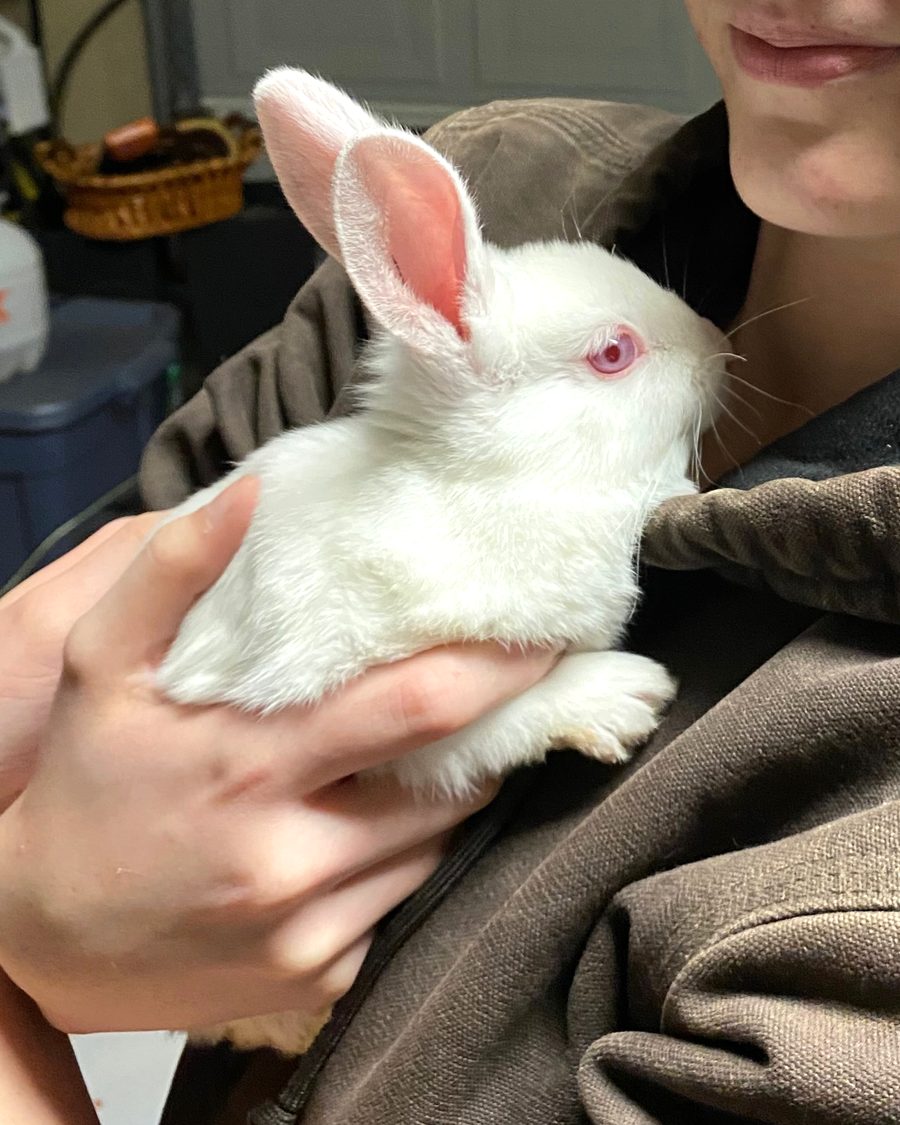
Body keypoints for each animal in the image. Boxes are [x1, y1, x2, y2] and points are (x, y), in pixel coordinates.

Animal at [155, 68, 728, 1054]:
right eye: (613, 352)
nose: (721, 347)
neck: (482, 480)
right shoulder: (376, 707)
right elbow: (493, 726)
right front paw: (622, 696)